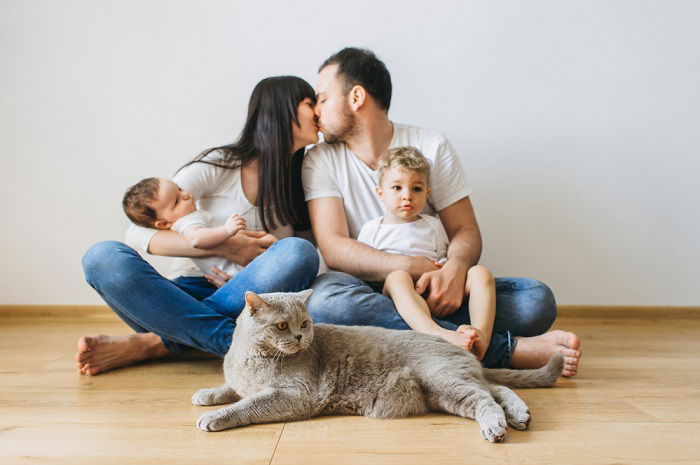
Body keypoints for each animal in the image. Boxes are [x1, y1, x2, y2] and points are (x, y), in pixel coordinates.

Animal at [191, 288, 564, 440]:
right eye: (283, 325)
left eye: (305, 324)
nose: (299, 337)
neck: (253, 358)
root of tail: (464, 352)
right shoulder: (243, 381)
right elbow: (232, 388)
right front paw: (207, 394)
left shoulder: (295, 395)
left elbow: (249, 404)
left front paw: (215, 416)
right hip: (445, 390)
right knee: (496, 388)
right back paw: (519, 414)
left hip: (441, 378)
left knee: (487, 396)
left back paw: (496, 426)